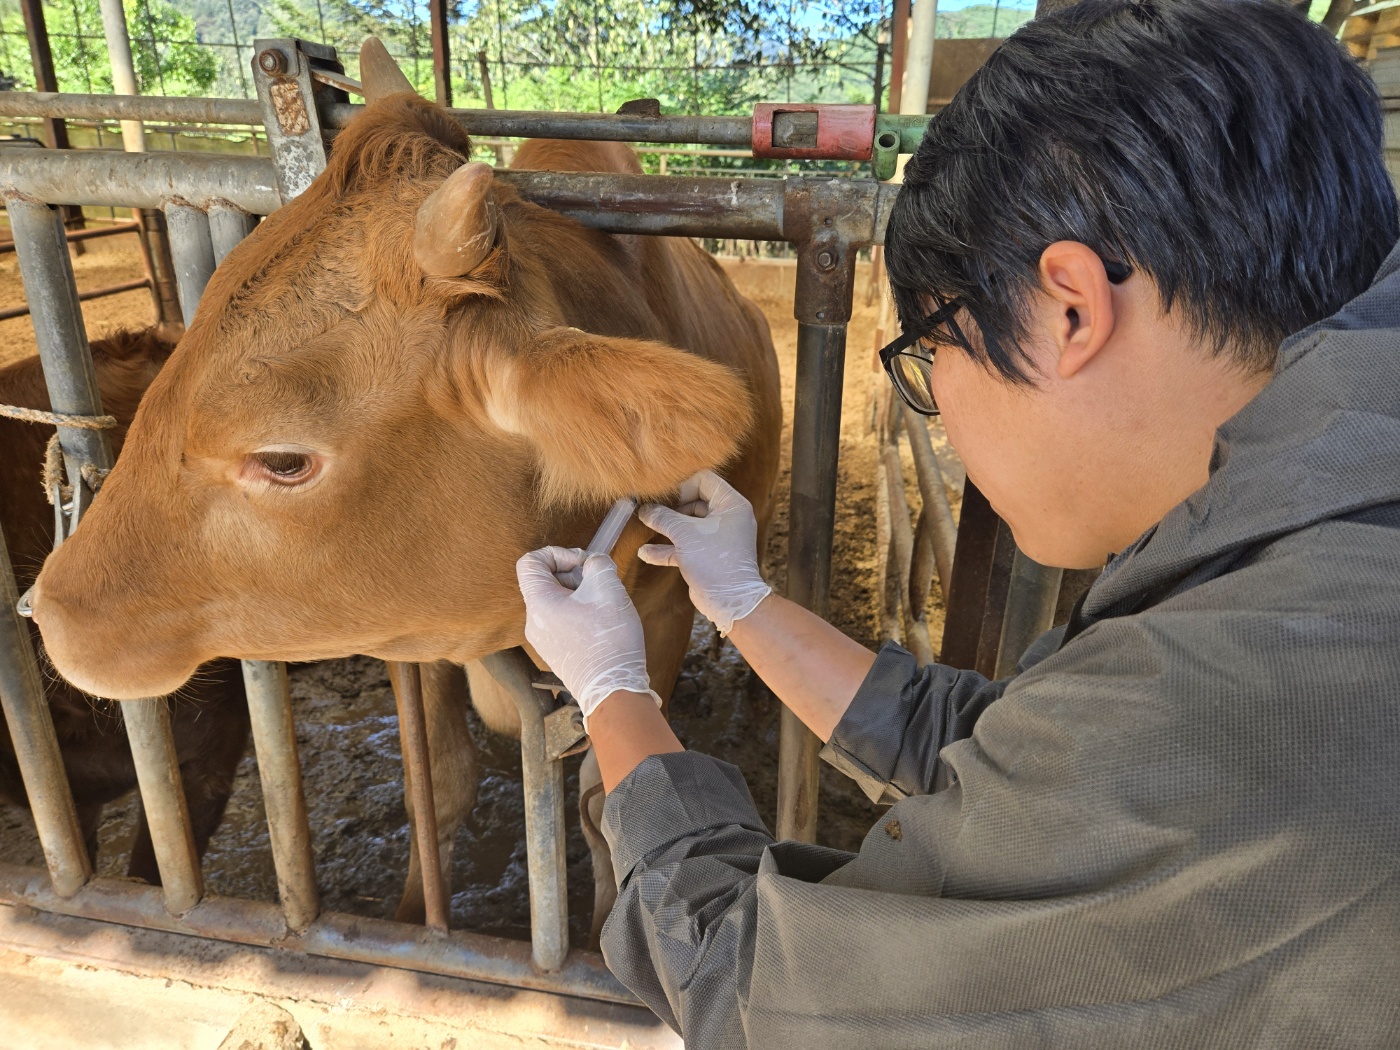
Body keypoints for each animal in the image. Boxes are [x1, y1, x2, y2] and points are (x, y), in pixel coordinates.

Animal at [30, 43, 789, 935]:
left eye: (283, 461)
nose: (49, 610)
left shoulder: (661, 619)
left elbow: (606, 801)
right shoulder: (415, 628)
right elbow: (442, 778)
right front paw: (414, 911)